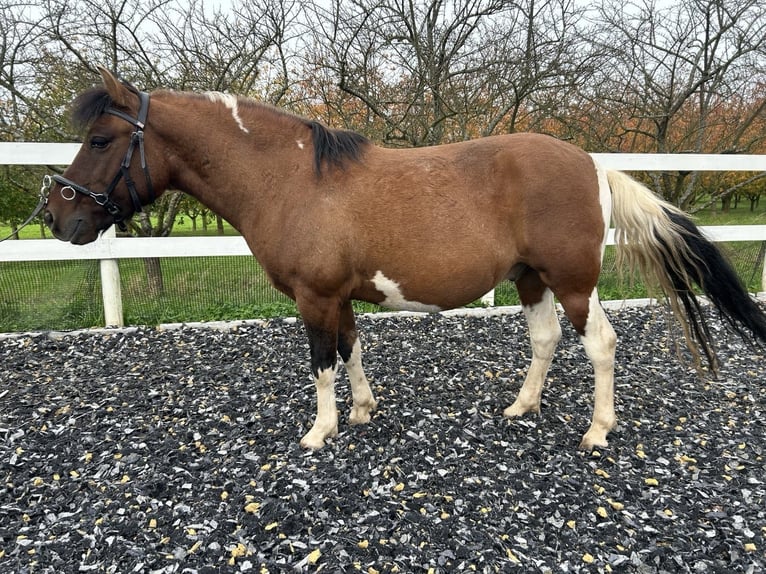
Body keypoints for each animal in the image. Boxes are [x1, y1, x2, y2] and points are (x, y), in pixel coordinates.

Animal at [43, 67, 766, 452]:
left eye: (100, 139)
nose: (55, 214)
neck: (290, 178)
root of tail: (592, 163)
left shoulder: (314, 297)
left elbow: (322, 364)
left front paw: (320, 432)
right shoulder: (338, 295)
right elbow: (351, 350)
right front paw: (363, 412)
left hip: (573, 282)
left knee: (601, 346)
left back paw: (597, 432)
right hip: (531, 280)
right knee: (543, 340)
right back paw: (521, 407)